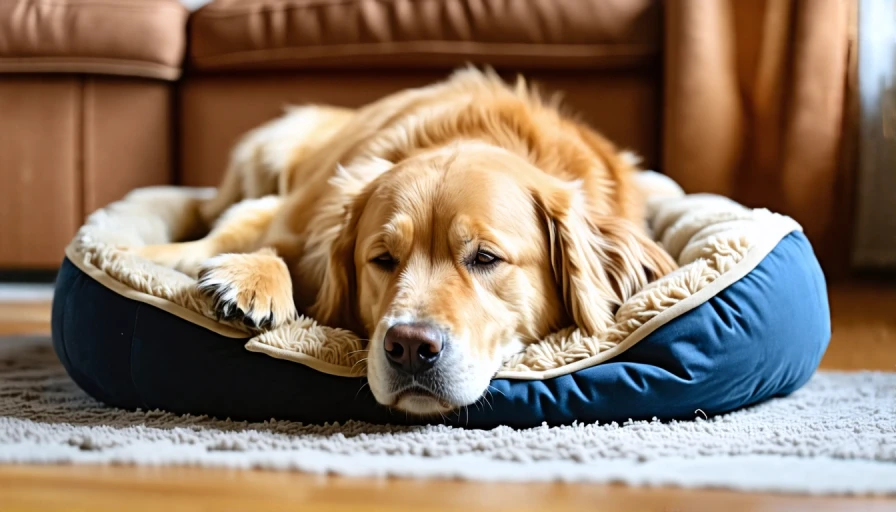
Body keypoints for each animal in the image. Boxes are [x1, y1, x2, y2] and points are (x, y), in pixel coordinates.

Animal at [136, 67, 676, 416]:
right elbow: (254, 239)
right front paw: (249, 277)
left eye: (485, 257)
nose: (411, 347)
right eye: (382, 258)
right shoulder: (292, 213)